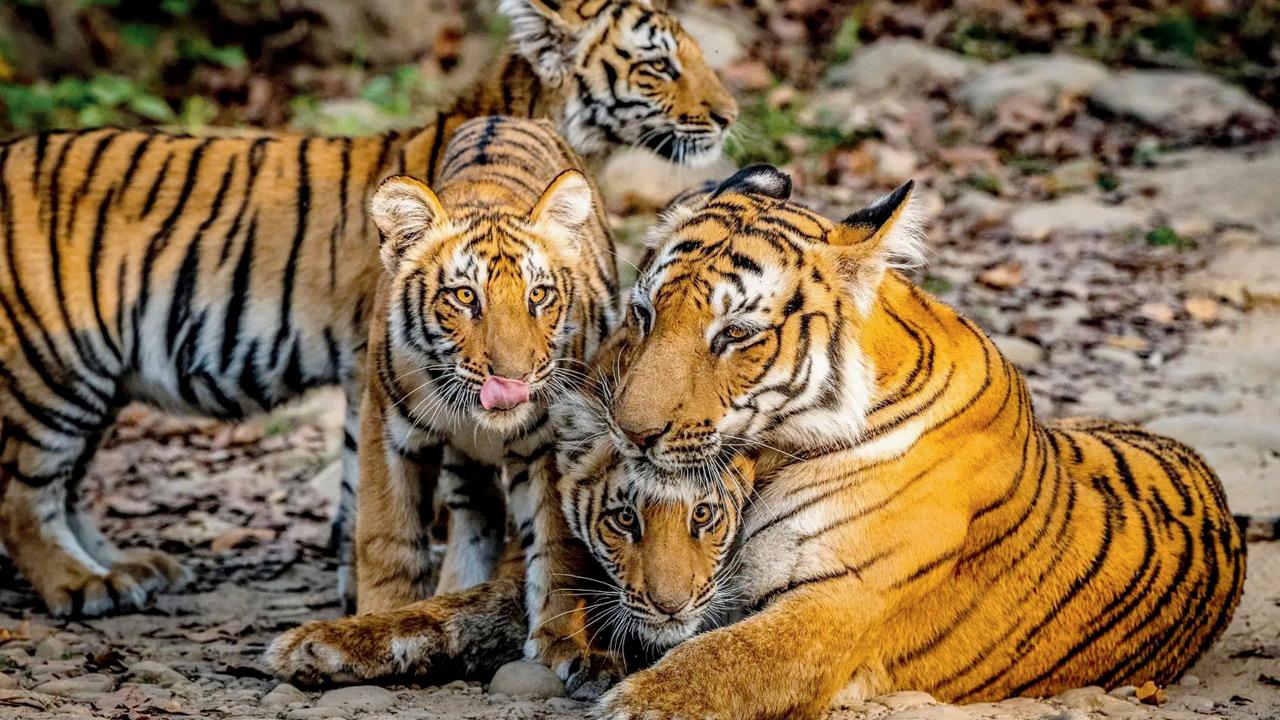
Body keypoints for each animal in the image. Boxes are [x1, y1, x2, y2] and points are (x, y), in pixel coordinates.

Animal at [0, 0, 736, 618]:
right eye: (658, 65)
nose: (730, 115)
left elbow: (362, 482)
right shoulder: (373, 366)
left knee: (67, 485)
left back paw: (127, 568)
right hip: (52, 367)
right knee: (25, 497)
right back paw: (84, 584)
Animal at [267, 165, 1247, 720]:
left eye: (735, 335)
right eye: (643, 313)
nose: (629, 428)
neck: (775, 454)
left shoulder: (842, 603)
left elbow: (716, 666)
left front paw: (628, 703)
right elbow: (465, 606)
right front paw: (319, 642)